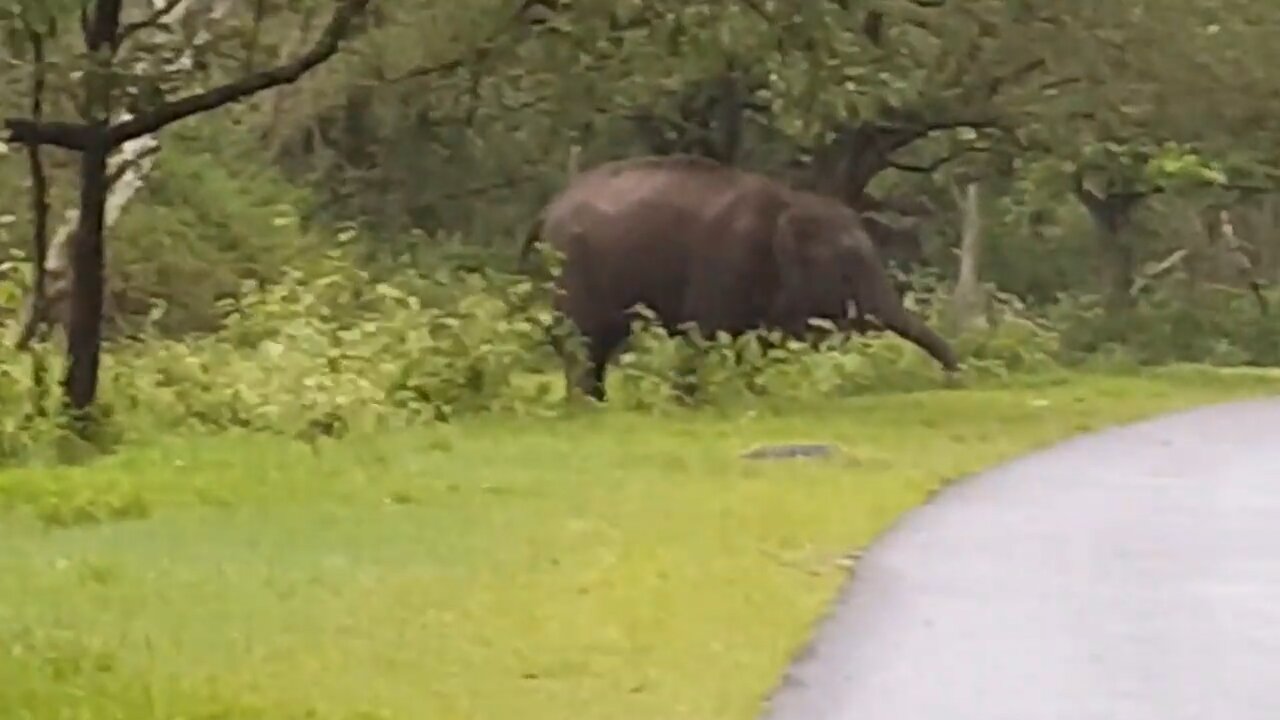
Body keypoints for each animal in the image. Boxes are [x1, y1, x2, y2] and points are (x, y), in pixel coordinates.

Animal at [519, 154, 962, 399]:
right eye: (849, 264)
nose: (956, 378)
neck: (791, 202)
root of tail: (547, 210)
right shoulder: (727, 260)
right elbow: (704, 332)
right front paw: (695, 401)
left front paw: (752, 394)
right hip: (575, 270)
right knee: (583, 340)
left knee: (598, 343)